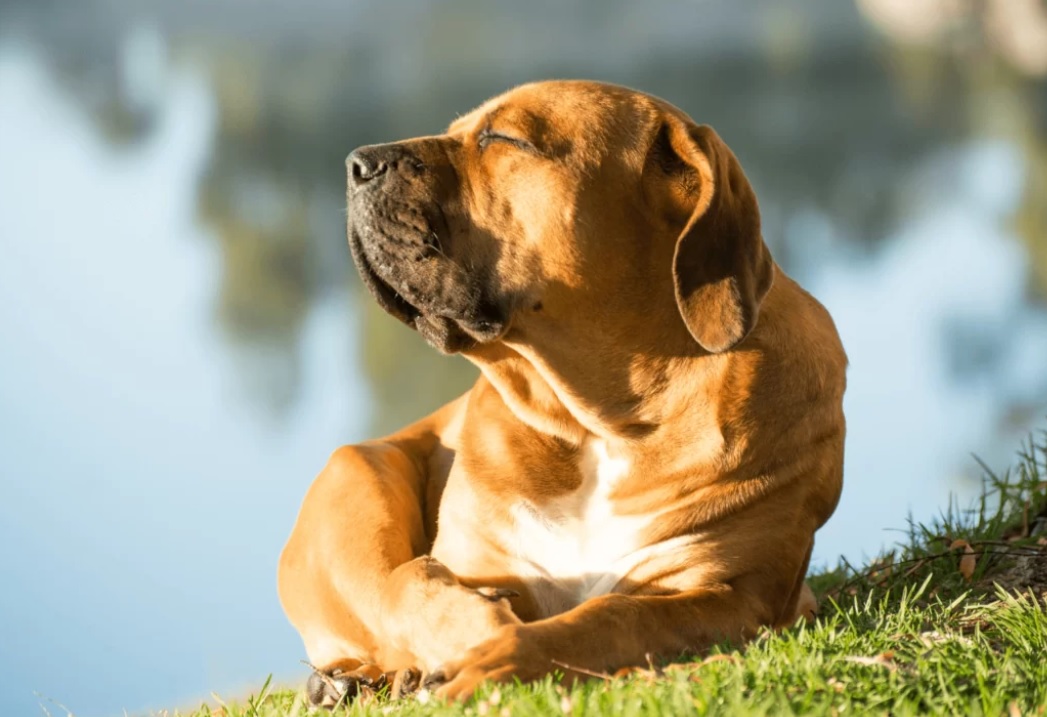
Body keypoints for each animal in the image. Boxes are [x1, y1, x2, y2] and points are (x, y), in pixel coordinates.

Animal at [276, 81, 841, 703]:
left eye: (504, 138)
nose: (358, 163)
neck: (597, 423)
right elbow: (412, 584)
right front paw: (471, 630)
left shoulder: (733, 592)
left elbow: (611, 616)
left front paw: (499, 656)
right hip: (359, 473)